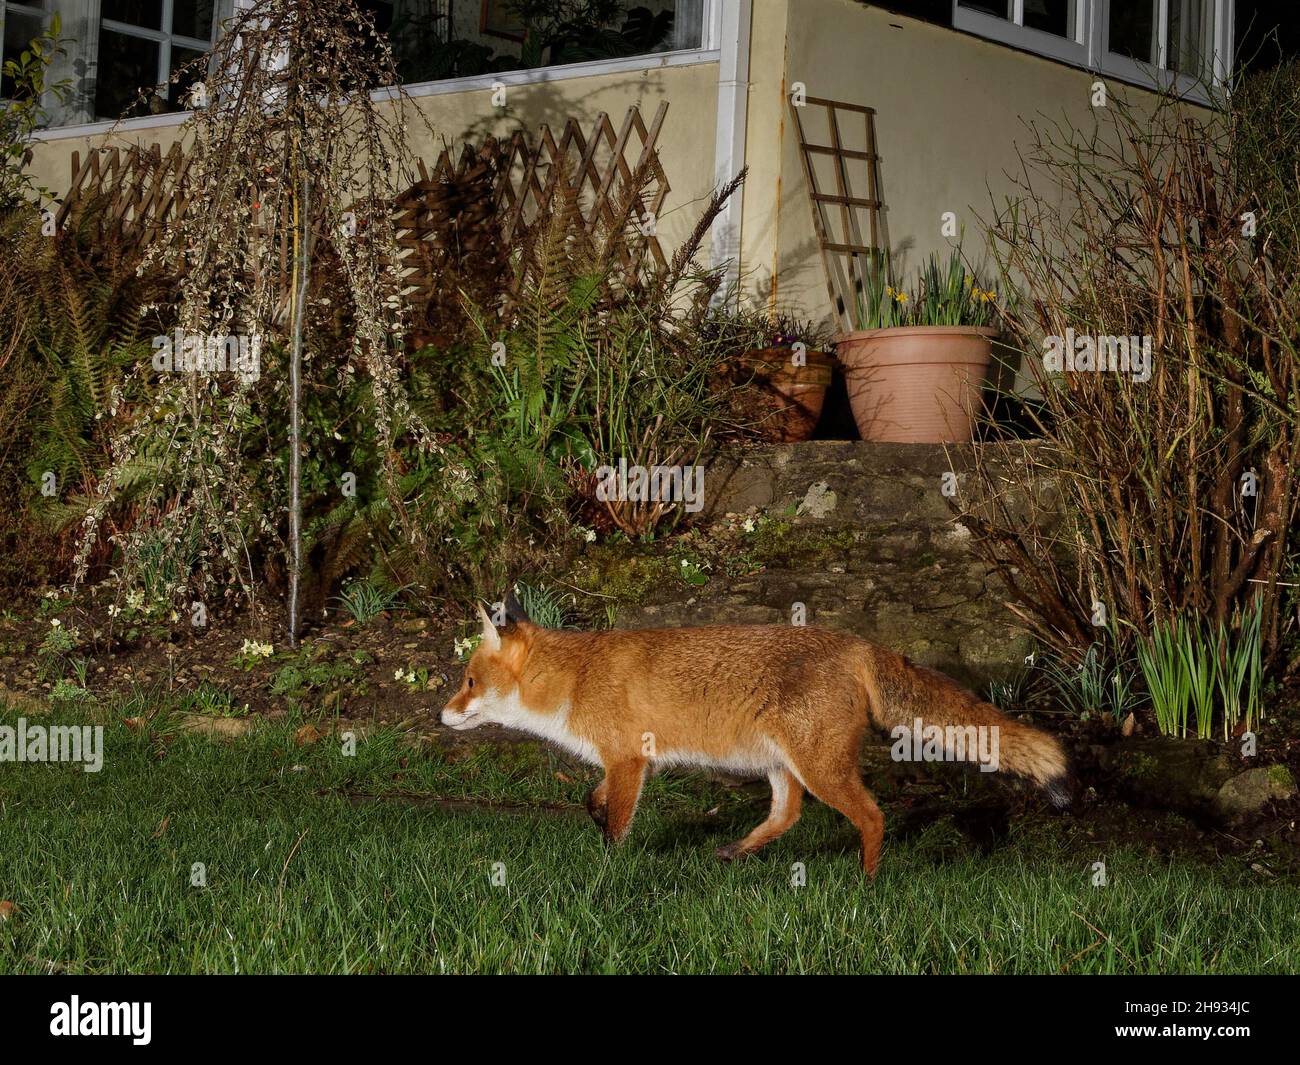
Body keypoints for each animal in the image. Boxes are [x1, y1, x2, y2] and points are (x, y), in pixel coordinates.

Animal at [441, 595, 1071, 879]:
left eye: (468, 681)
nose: (442, 715)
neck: (576, 679)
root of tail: (859, 644)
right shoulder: (621, 765)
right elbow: (590, 800)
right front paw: (595, 823)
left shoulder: (627, 760)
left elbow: (616, 823)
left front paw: (609, 871)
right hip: (780, 764)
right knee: (786, 815)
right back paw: (735, 852)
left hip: (818, 767)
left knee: (872, 816)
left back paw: (867, 881)